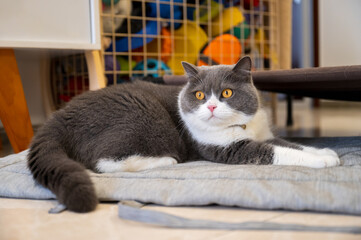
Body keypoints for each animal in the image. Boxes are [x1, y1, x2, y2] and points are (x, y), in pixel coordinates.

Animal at [26, 55, 338, 212]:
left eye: (226, 93)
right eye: (199, 95)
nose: (211, 106)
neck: (241, 126)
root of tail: (60, 116)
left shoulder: (262, 133)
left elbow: (288, 143)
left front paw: (324, 152)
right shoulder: (230, 149)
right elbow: (276, 152)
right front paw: (321, 161)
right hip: (141, 117)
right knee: (102, 162)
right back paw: (165, 161)